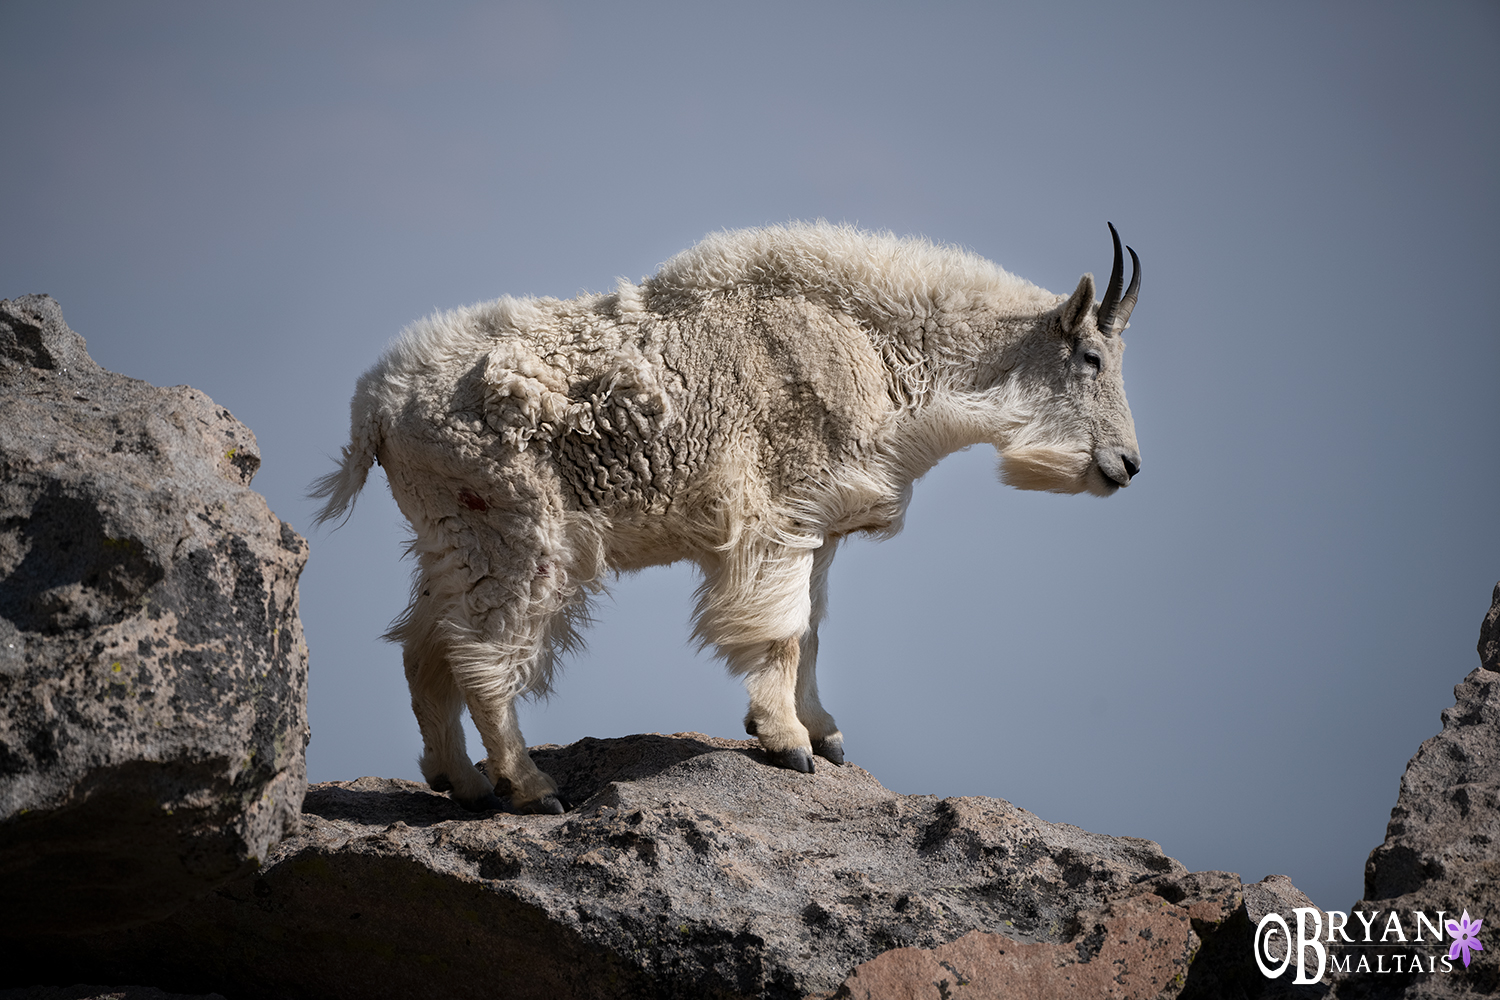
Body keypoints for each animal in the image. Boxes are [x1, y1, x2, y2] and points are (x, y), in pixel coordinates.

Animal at [310, 220, 1140, 815]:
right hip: (515, 535)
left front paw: (823, 733)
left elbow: (812, 630)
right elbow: (781, 630)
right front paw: (786, 743)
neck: (881, 348)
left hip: (451, 536)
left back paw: (461, 780)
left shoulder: (820, 524)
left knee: (424, 647)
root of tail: (375, 409)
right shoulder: (779, 516)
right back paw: (529, 788)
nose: (1129, 466)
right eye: (1093, 358)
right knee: (483, 656)